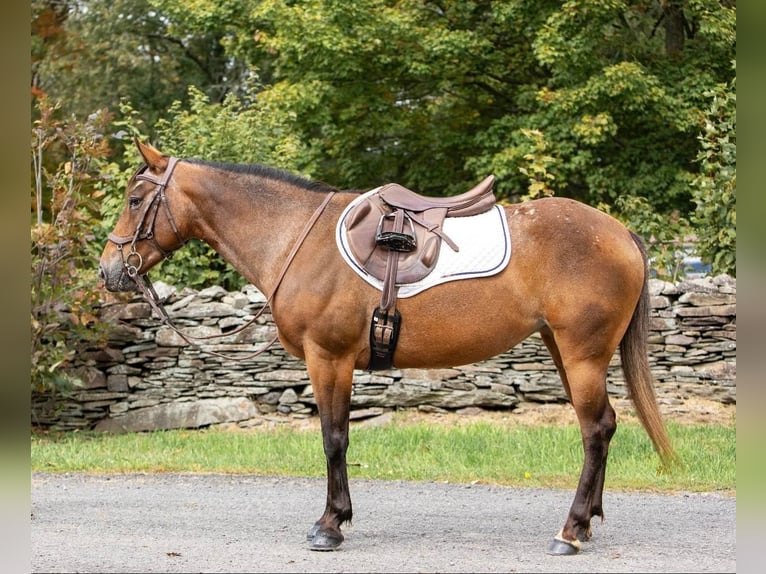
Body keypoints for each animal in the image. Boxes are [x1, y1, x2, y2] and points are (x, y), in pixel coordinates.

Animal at [97, 140, 680, 560]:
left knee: (596, 430)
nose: (108, 271)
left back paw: (570, 531)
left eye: (134, 200)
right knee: (602, 428)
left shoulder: (328, 359)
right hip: (564, 350)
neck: (295, 237)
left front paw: (330, 525)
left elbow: (334, 440)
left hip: (582, 356)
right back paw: (588, 521)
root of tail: (620, 233)